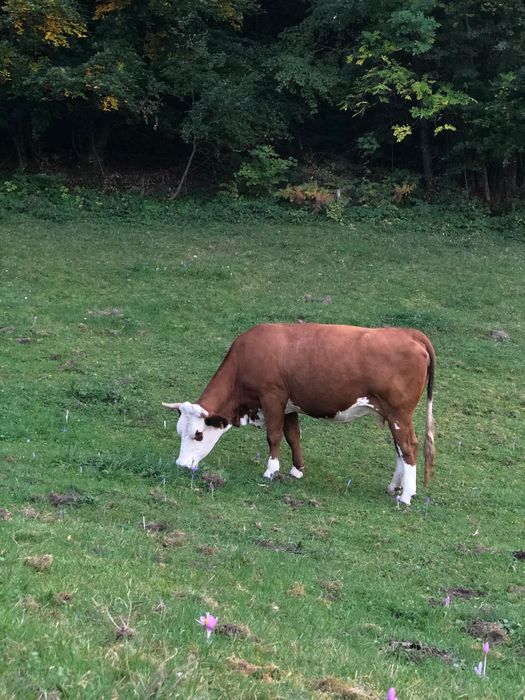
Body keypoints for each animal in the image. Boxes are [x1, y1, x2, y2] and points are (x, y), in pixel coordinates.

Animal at [163, 323, 435, 504]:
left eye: (198, 434)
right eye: (179, 432)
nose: (180, 465)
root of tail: (408, 333)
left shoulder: (272, 397)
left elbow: (273, 435)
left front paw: (271, 471)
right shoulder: (289, 406)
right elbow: (293, 436)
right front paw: (297, 470)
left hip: (399, 413)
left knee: (408, 446)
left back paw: (406, 496)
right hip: (392, 415)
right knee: (400, 448)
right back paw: (395, 486)